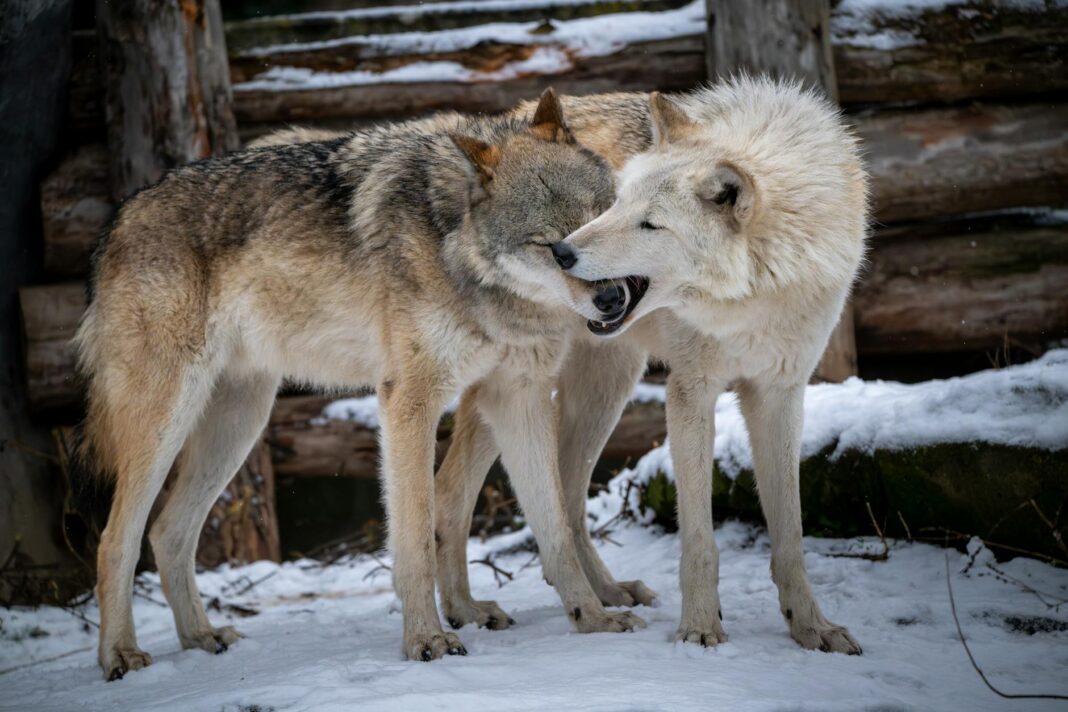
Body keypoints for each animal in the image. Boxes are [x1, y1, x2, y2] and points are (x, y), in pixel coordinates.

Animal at [75, 89, 643, 680]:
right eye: (554, 248)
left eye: (601, 223)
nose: (614, 299)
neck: (457, 251)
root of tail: (119, 217)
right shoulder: (410, 401)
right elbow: (415, 538)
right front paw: (427, 642)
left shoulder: (518, 396)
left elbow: (555, 529)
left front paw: (592, 619)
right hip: (168, 421)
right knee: (115, 541)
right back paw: (119, 654)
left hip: (240, 423)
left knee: (167, 533)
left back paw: (202, 638)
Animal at [433, 77, 868, 654]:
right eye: (616, 203)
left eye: (649, 224)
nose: (563, 252)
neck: (750, 296)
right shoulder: (691, 390)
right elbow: (700, 540)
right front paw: (701, 629)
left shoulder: (781, 393)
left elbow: (791, 538)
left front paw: (812, 628)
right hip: (522, 390)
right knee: (451, 491)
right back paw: (468, 611)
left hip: (605, 388)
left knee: (565, 497)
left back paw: (606, 594)